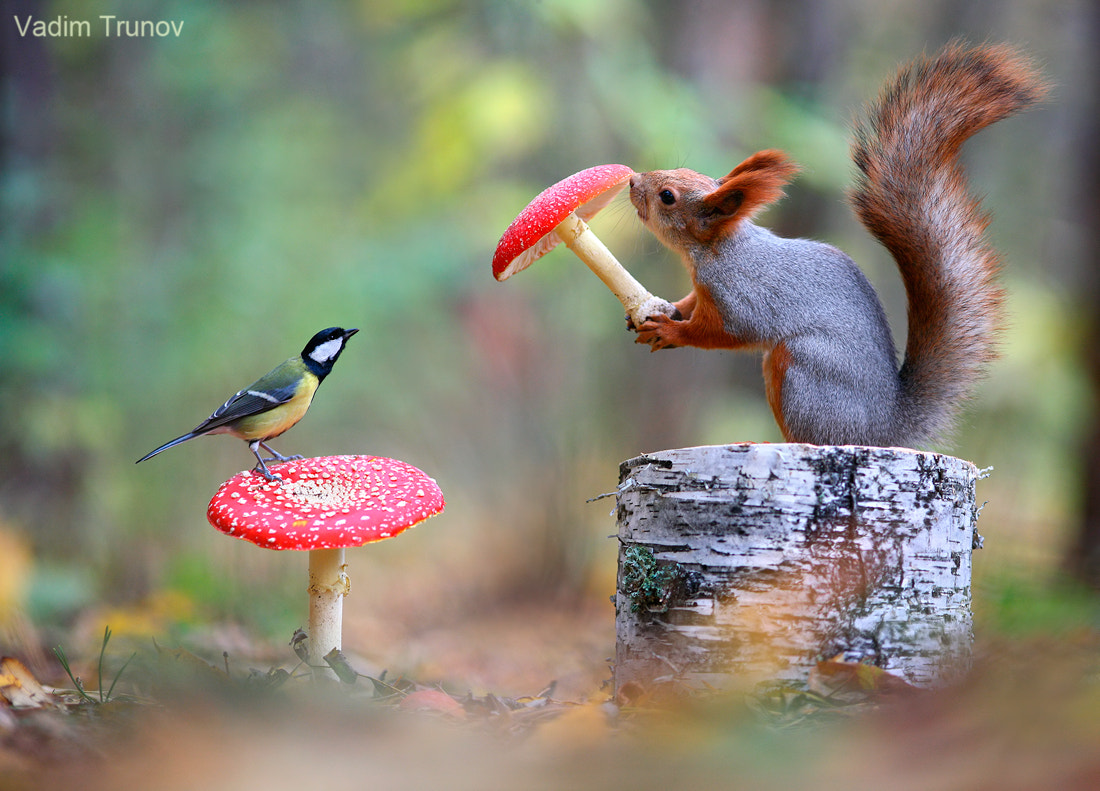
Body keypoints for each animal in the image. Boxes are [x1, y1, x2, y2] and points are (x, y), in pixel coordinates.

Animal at [629, 43, 1047, 448]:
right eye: (681, 172)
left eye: (668, 196)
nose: (633, 181)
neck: (717, 249)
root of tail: (882, 431)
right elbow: (690, 303)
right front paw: (668, 310)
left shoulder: (740, 297)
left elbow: (726, 332)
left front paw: (673, 332)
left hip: (803, 370)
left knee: (817, 436)